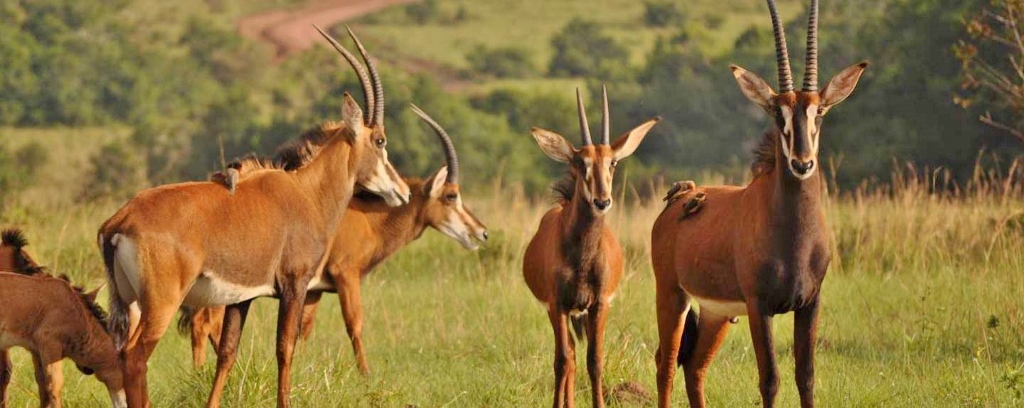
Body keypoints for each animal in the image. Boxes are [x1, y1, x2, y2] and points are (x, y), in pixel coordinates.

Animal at [96, 26, 411, 408]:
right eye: (380, 140)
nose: (403, 192)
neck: (307, 192)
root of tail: (120, 221)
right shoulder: (294, 284)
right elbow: (285, 349)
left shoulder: (241, 298)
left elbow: (227, 353)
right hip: (161, 303)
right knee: (136, 356)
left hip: (127, 303)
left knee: (119, 354)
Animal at [191, 106, 487, 408]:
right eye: (451, 195)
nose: (481, 232)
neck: (367, 219)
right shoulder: (346, 275)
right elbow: (354, 324)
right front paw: (366, 376)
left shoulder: (313, 291)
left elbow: (304, 330)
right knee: (203, 323)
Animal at [524, 86, 659, 408]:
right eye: (580, 162)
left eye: (612, 162)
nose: (602, 201)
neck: (582, 256)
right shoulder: (558, 304)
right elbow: (562, 361)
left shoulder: (600, 304)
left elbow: (595, 360)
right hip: (559, 311)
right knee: (569, 356)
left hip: (581, 312)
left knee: (576, 355)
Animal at [647, 1, 864, 405]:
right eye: (777, 112)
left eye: (819, 111)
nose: (802, 163)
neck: (793, 236)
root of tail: (681, 196)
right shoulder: (759, 305)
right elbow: (770, 379)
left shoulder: (810, 303)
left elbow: (806, 375)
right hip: (672, 296)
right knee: (666, 365)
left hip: (716, 312)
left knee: (694, 368)